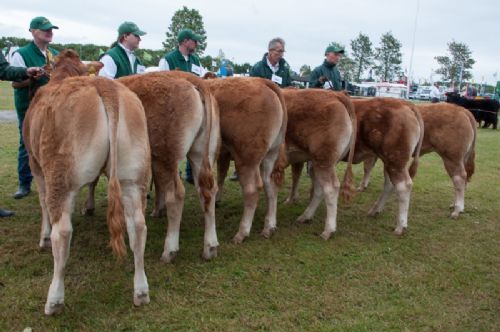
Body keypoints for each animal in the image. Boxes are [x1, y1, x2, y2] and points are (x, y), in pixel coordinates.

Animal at [23, 50, 150, 316]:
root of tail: (104, 85)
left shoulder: (35, 163)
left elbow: (42, 202)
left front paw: (43, 237)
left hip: (60, 177)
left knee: (63, 232)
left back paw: (54, 299)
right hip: (134, 177)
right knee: (137, 226)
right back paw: (141, 291)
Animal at [84, 71, 221, 264]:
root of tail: (193, 80)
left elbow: (92, 180)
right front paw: (157, 209)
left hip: (166, 155)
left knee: (176, 195)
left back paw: (169, 250)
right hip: (202, 153)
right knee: (207, 191)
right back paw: (210, 246)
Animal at [282, 88, 356, 239]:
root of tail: (337, 94)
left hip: (324, 160)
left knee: (331, 188)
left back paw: (328, 230)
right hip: (317, 163)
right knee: (319, 188)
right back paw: (306, 216)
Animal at [288, 97, 424, 235]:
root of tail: (404, 103)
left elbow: (300, 177)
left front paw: (291, 200)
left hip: (395, 158)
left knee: (404, 186)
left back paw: (400, 226)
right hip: (389, 160)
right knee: (390, 184)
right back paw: (375, 210)